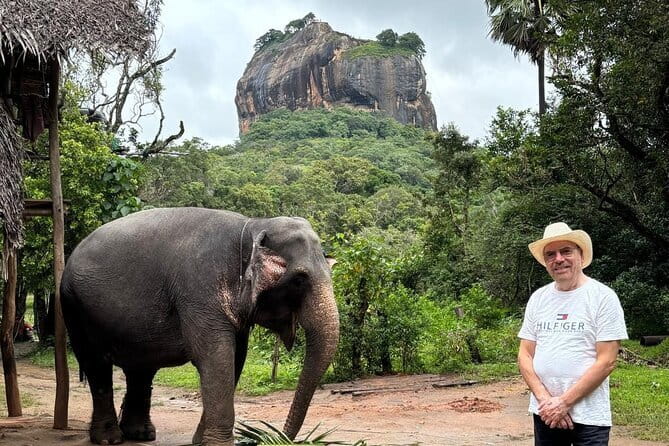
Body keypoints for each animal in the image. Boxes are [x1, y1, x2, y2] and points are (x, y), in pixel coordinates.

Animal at [60, 207, 340, 445]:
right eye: (299, 280)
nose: (275, 438)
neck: (252, 225)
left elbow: (235, 358)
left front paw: (200, 441)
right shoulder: (199, 289)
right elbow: (215, 356)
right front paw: (217, 444)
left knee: (141, 369)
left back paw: (141, 434)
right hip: (75, 307)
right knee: (96, 364)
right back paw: (109, 439)